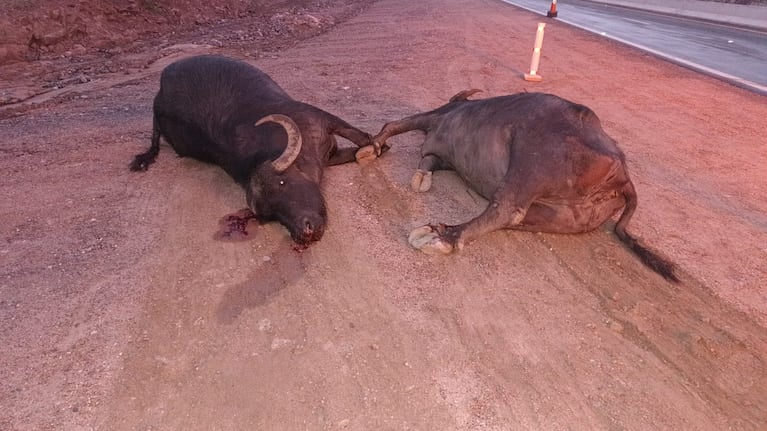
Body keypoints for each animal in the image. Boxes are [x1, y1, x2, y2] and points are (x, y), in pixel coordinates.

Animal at [131, 54, 378, 246]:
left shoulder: (324, 121)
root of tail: (158, 97)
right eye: (273, 215)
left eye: (282, 182)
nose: (304, 230)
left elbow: (361, 138)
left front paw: (374, 145)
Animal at [376, 89, 680, 282]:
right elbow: (427, 161)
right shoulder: (442, 156)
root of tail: (622, 174)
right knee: (515, 217)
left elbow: (395, 124)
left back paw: (440, 236)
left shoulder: (438, 116)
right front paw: (420, 178)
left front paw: (374, 146)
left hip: (533, 159)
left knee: (507, 208)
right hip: (563, 216)